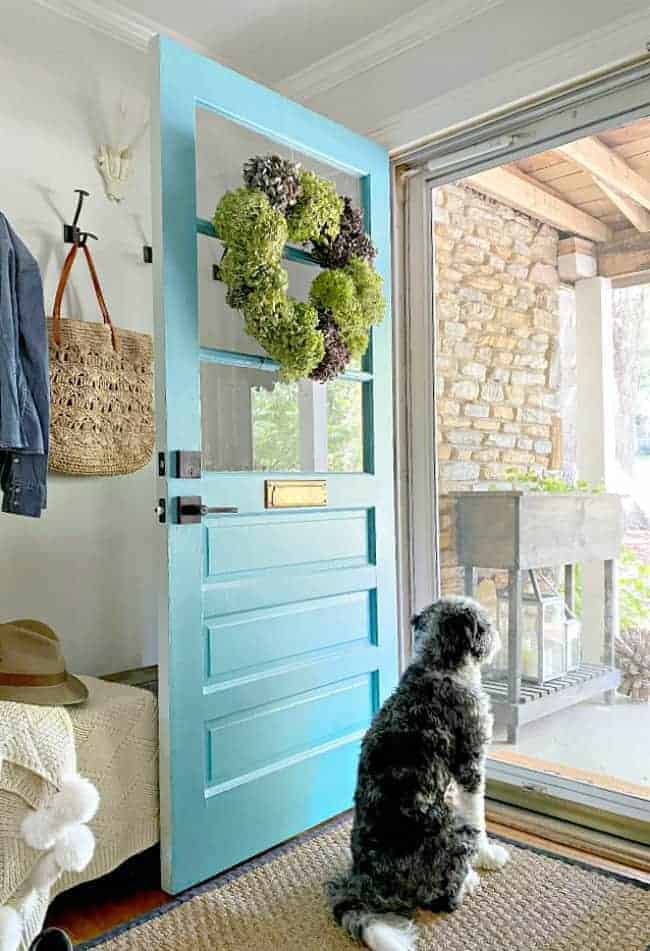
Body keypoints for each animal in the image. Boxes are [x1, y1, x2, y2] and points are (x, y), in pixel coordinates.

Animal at [326, 600, 508, 948]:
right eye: (485, 624)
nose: (497, 636)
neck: (438, 665)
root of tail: (363, 882)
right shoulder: (471, 766)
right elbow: (479, 815)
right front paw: (490, 856)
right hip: (455, 831)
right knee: (444, 899)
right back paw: (469, 880)